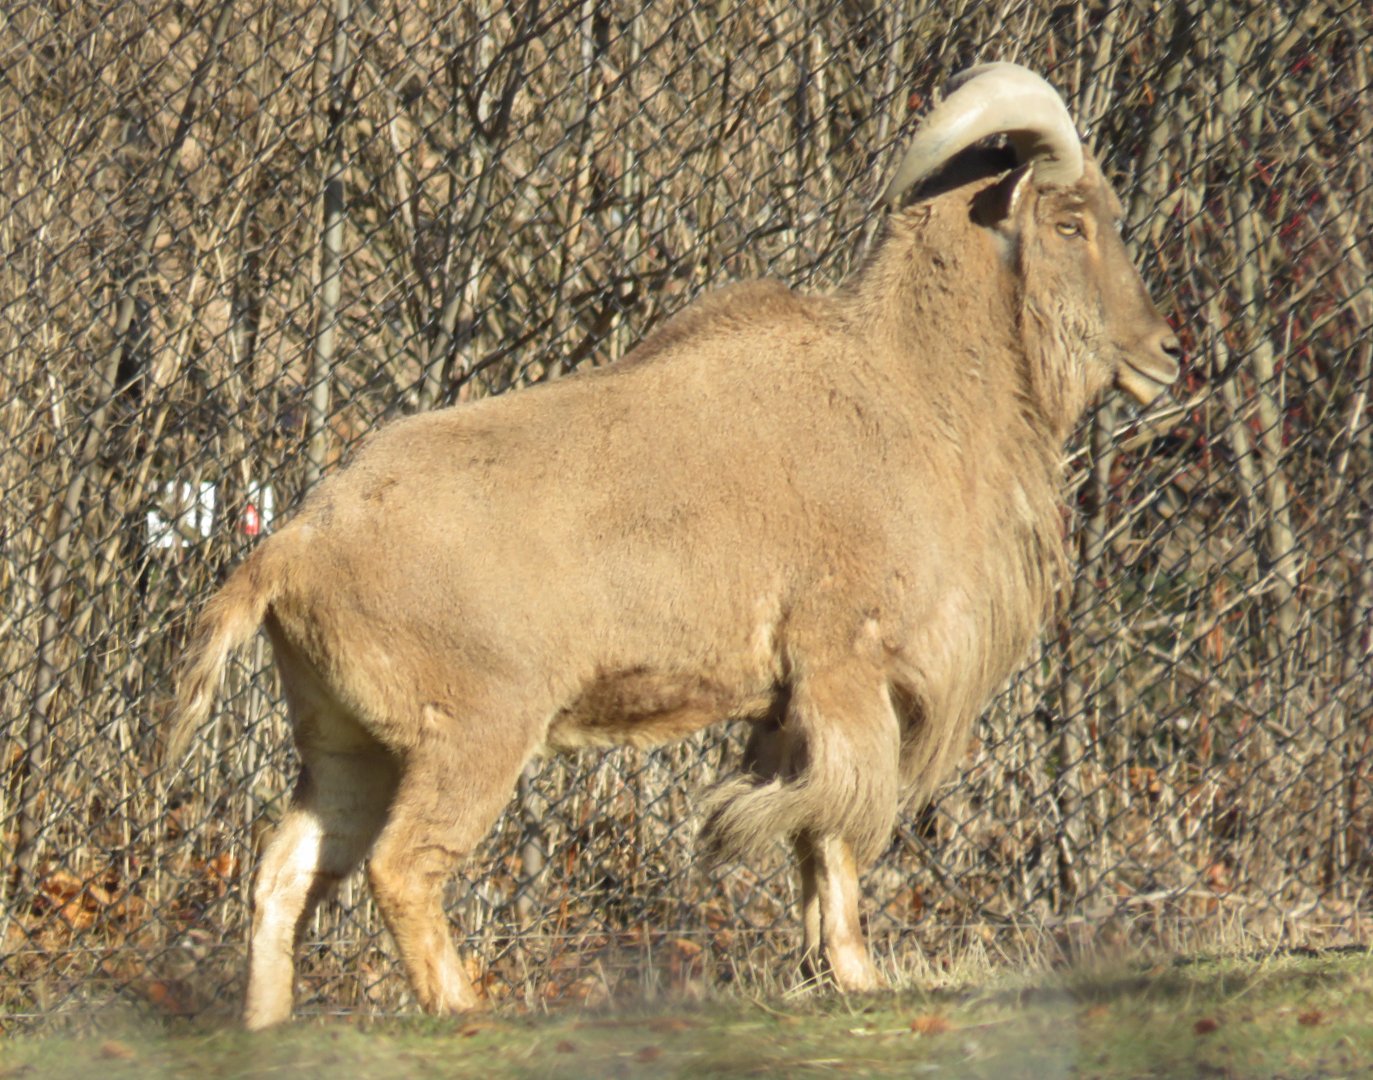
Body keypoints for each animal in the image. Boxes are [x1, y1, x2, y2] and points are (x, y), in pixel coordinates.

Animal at [166, 62, 1181, 1028]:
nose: (1164, 353)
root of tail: (292, 546)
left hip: (348, 747)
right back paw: (464, 1009)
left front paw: (826, 968)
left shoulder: (787, 706)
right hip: (471, 735)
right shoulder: (843, 668)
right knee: (401, 866)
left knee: (284, 875)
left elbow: (813, 842)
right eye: (1070, 220)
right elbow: (838, 825)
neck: (911, 388)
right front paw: (857, 972)